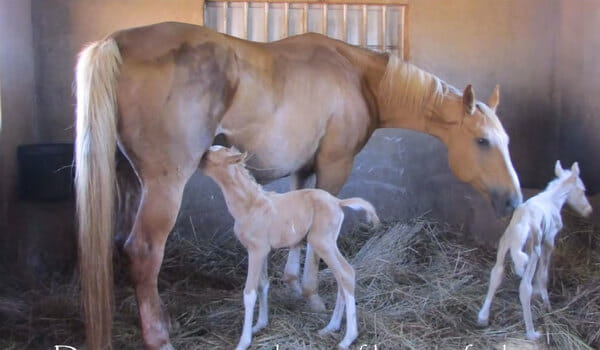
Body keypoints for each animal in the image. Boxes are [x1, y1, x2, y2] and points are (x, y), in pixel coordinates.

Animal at [200, 146, 380, 350]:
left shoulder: (257, 251)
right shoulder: (261, 251)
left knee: (346, 274)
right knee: (343, 275)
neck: (250, 205)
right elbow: (263, 285)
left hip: (321, 242)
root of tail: (338, 202)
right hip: (328, 243)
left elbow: (249, 293)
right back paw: (330, 328)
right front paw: (260, 325)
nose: (196, 160)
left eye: (208, 157)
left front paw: (244, 341)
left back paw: (347, 338)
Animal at [478, 161, 592, 340]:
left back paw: (483, 318)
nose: (589, 210)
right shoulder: (549, 240)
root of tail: (522, 224)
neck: (553, 199)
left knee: (496, 273)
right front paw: (546, 303)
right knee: (525, 287)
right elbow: (543, 274)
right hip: (533, 251)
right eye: (583, 190)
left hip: (505, 244)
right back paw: (532, 332)